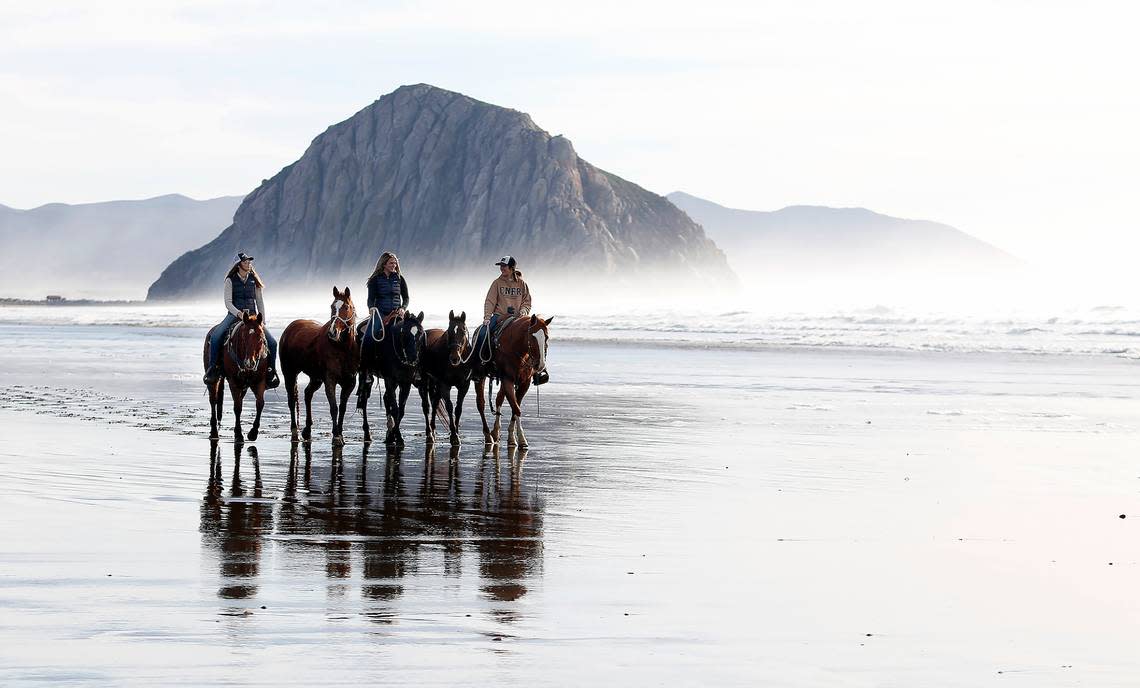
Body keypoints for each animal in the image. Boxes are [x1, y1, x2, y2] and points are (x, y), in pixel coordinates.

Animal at [202, 309, 269, 439]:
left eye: (260, 337)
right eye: (243, 337)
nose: (250, 362)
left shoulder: (260, 380)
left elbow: (260, 403)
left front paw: (253, 432)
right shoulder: (233, 381)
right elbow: (237, 407)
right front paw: (238, 433)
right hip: (213, 379)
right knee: (213, 400)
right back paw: (213, 428)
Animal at [279, 285, 355, 444]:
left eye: (346, 306)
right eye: (332, 306)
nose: (333, 333)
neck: (342, 349)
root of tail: (290, 328)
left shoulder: (349, 383)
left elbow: (342, 408)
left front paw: (340, 434)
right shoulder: (330, 380)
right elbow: (334, 407)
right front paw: (336, 436)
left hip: (316, 378)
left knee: (308, 394)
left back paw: (307, 430)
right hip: (289, 372)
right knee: (292, 400)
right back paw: (294, 431)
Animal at [357, 307, 426, 446]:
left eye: (421, 333)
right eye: (405, 334)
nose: (413, 358)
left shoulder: (405, 382)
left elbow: (401, 410)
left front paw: (393, 435)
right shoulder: (389, 379)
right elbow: (395, 409)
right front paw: (396, 437)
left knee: (385, 398)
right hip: (366, 374)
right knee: (364, 400)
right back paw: (367, 434)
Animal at [419, 309, 471, 446]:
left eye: (463, 331)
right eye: (449, 331)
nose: (455, 358)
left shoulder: (464, 386)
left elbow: (458, 408)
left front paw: (456, 431)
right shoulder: (445, 385)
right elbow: (449, 407)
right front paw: (454, 435)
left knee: (435, 403)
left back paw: (433, 430)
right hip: (425, 380)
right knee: (426, 406)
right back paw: (429, 434)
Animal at [474, 316, 554, 448]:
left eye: (546, 337)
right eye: (532, 336)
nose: (540, 365)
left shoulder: (524, 383)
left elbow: (515, 407)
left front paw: (512, 437)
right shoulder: (508, 380)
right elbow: (516, 408)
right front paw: (521, 439)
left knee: (499, 398)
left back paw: (495, 431)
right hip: (481, 377)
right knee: (481, 403)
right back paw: (488, 435)